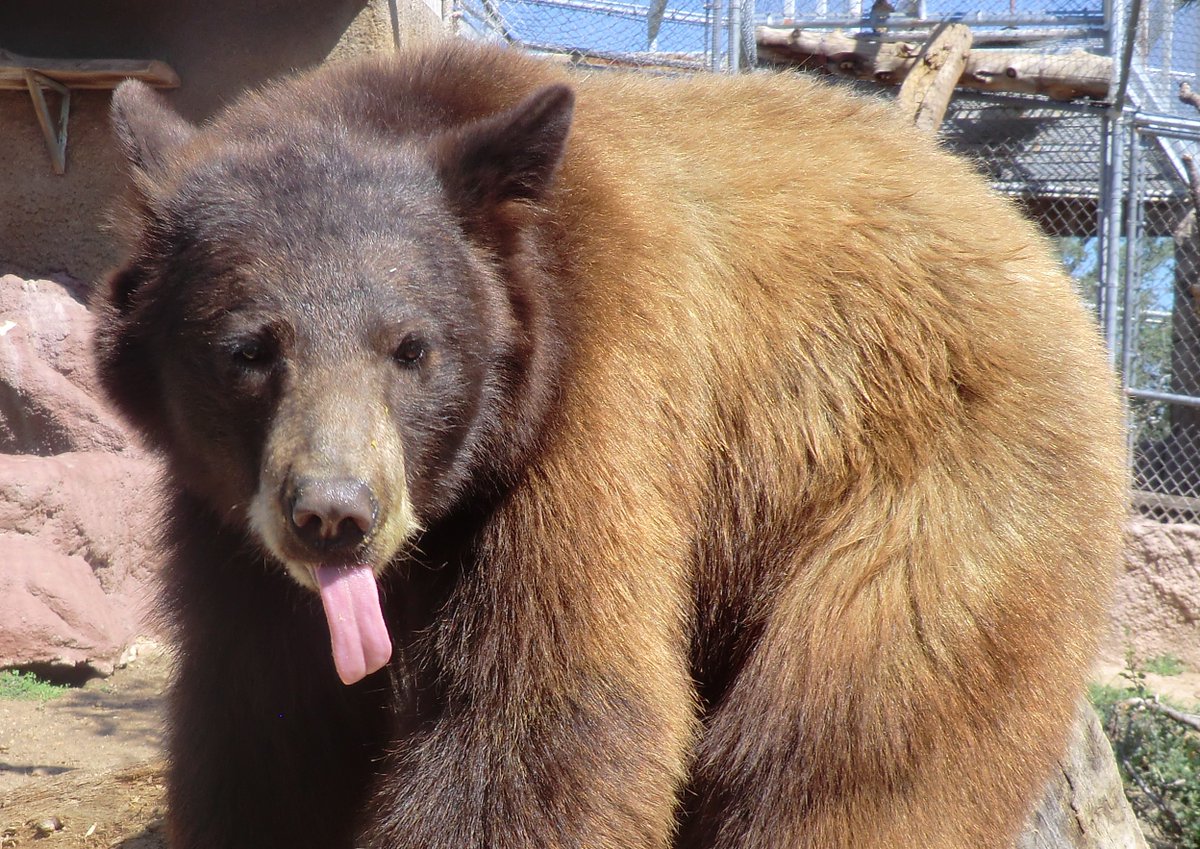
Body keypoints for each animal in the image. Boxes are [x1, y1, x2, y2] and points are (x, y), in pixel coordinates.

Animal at [93, 40, 1127, 849]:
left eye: (412, 346)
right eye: (249, 349)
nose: (336, 514)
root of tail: (1031, 248)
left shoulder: (591, 415)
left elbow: (542, 715)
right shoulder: (230, 537)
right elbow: (265, 725)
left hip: (932, 487)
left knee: (846, 737)